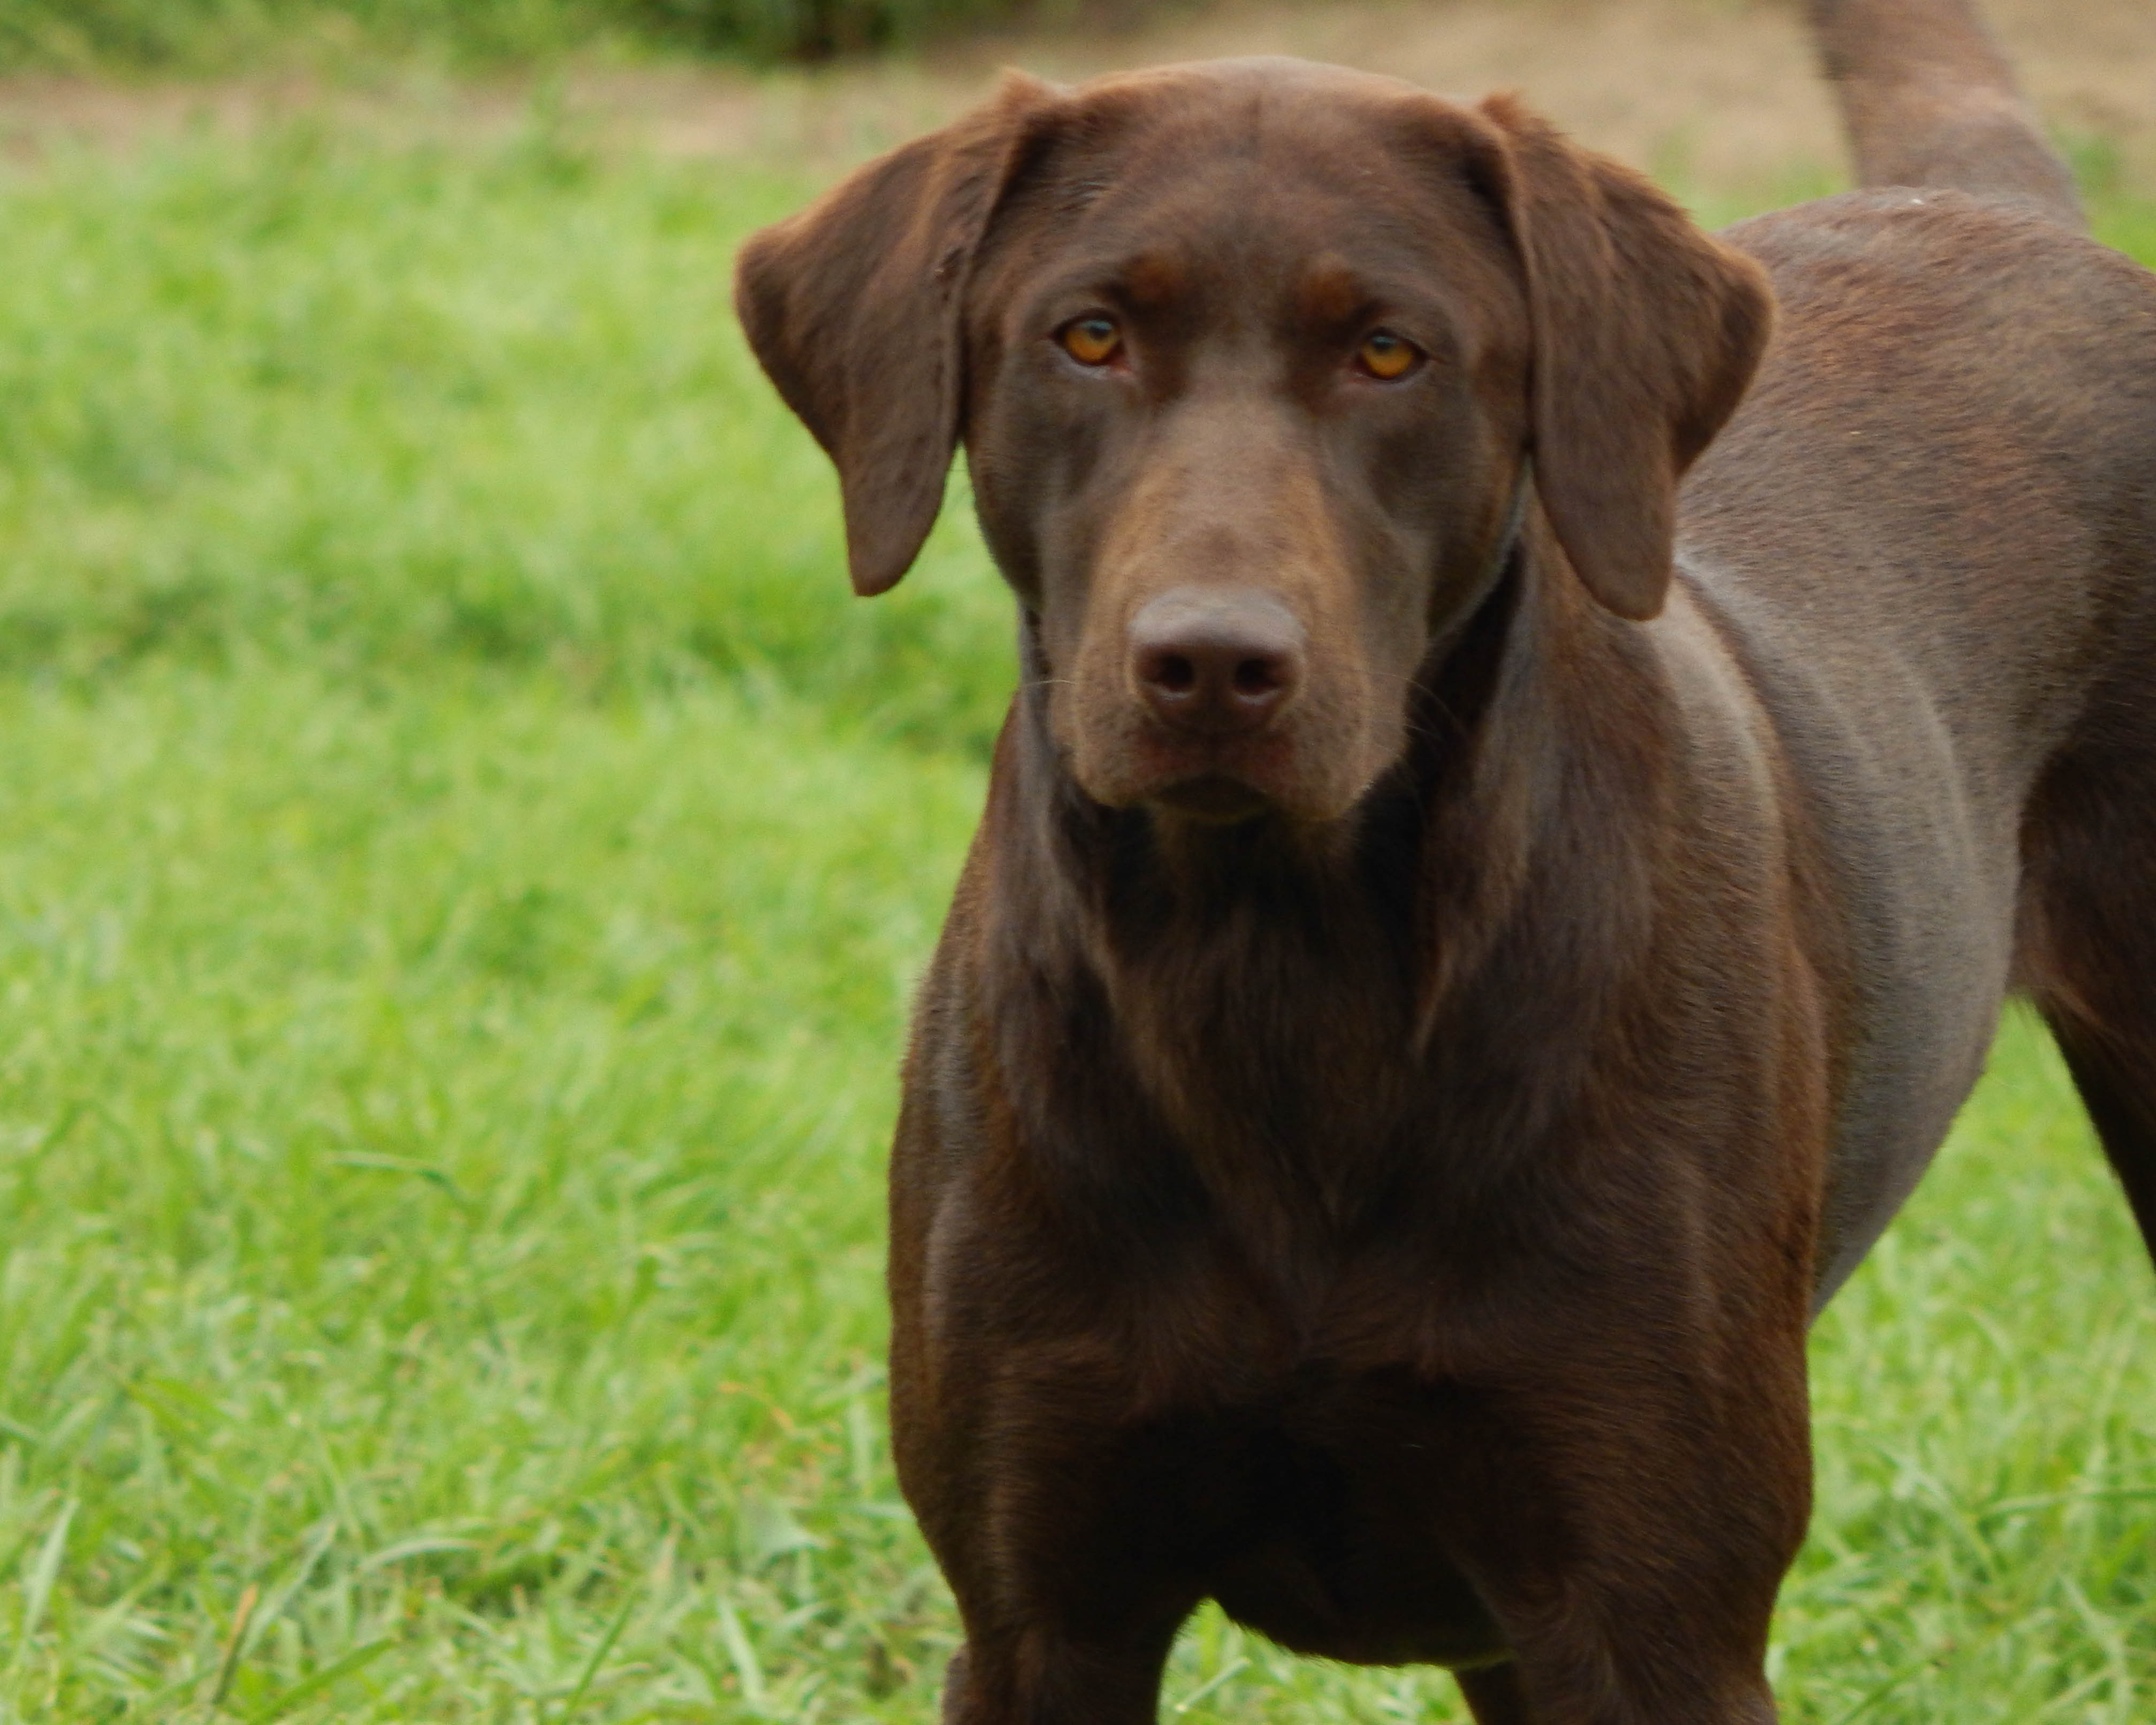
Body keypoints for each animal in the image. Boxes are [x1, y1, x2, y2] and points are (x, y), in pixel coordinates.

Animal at [737, 0, 2155, 1707]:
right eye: (1087, 337)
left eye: (1385, 352)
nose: (1210, 664)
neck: (1276, 972)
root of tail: (2018, 216)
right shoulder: (1039, 1616)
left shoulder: (1654, 1617)